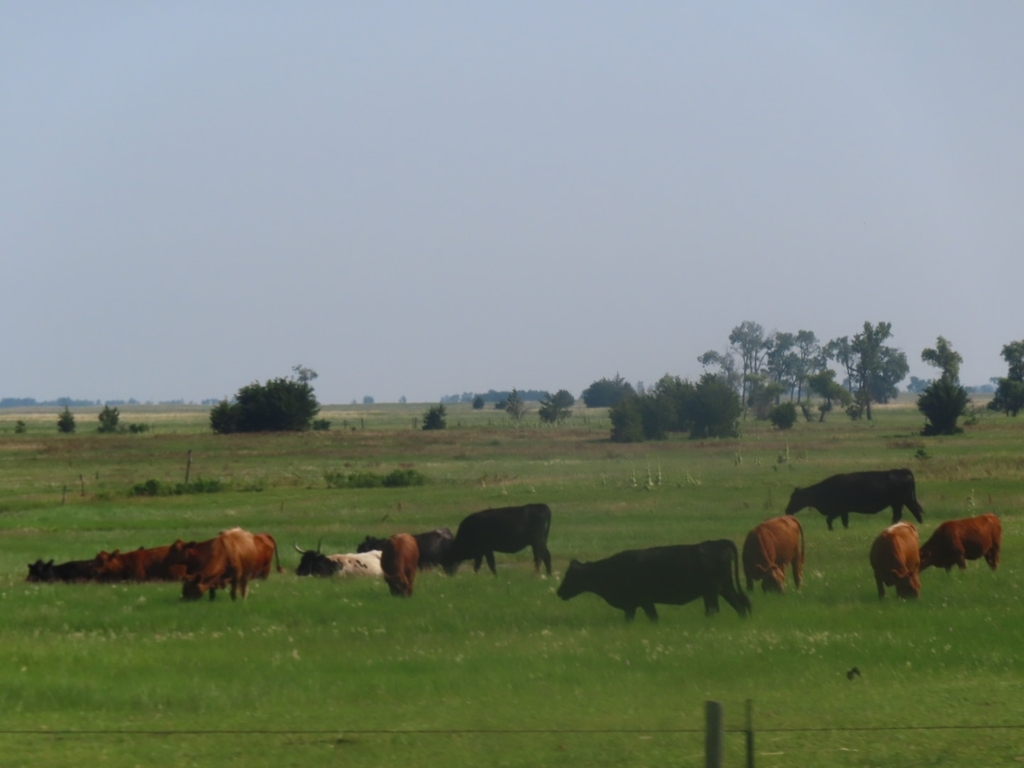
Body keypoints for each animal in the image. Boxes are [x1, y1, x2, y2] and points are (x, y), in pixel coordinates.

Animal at [557, 540, 749, 626]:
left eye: (570, 576)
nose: (559, 592)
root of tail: (719, 542)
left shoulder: (643, 601)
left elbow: (652, 617)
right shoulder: (633, 605)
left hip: (712, 592)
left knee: (719, 608)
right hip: (724, 589)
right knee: (740, 604)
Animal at [782, 466, 929, 532]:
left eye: (795, 497)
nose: (787, 510)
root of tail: (902, 470)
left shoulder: (839, 510)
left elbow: (830, 520)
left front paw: (832, 529)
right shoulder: (843, 511)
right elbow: (843, 522)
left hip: (899, 502)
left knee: (902, 514)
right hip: (904, 501)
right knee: (912, 511)